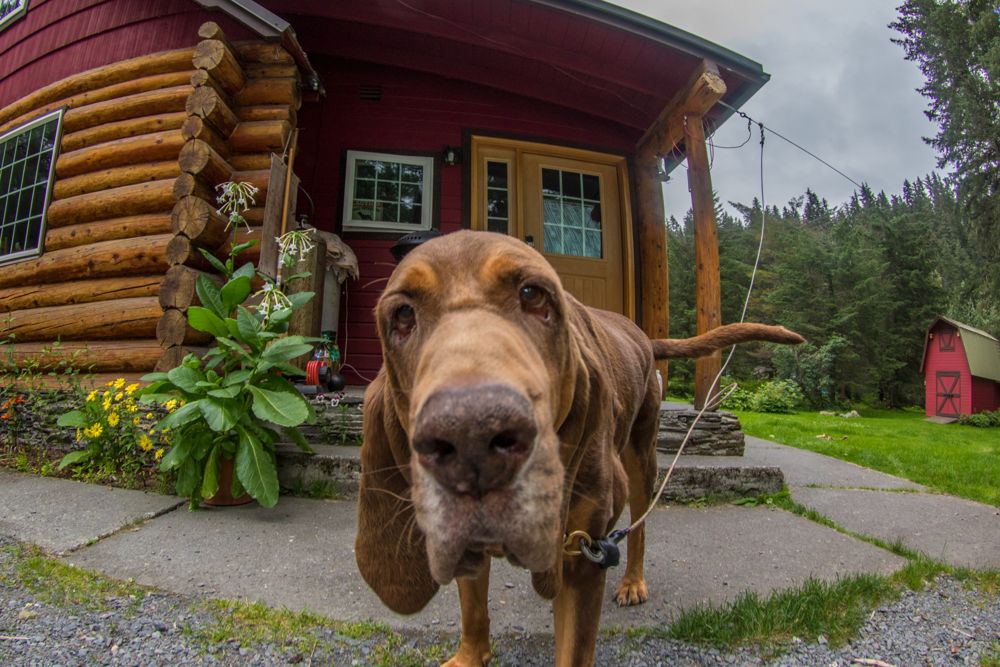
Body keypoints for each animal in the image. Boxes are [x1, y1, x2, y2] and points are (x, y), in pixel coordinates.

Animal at [356, 231, 800, 667]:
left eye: (534, 294)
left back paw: (633, 582)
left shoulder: (584, 558)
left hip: (641, 460)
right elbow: (473, 609)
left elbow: (573, 647)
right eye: (402, 315)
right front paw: (470, 656)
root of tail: (644, 337)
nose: (472, 439)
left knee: (638, 527)